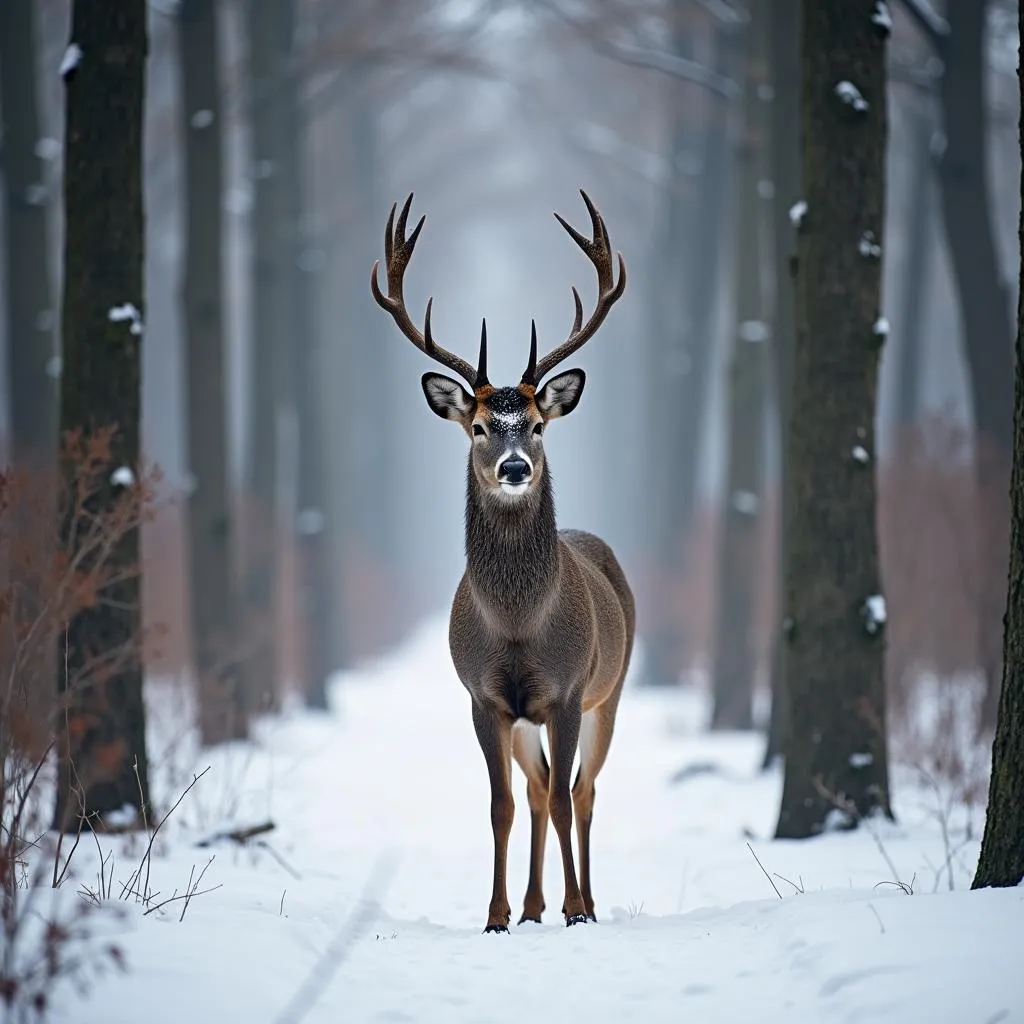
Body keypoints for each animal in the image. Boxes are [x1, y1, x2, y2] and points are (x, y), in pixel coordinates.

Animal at [372, 188, 634, 933]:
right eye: (480, 426)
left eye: (539, 425)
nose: (515, 467)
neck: (518, 628)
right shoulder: (483, 696)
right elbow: (501, 806)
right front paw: (495, 914)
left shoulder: (569, 690)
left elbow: (571, 795)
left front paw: (577, 910)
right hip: (526, 718)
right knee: (541, 787)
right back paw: (533, 905)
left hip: (613, 689)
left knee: (584, 790)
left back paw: (583, 902)